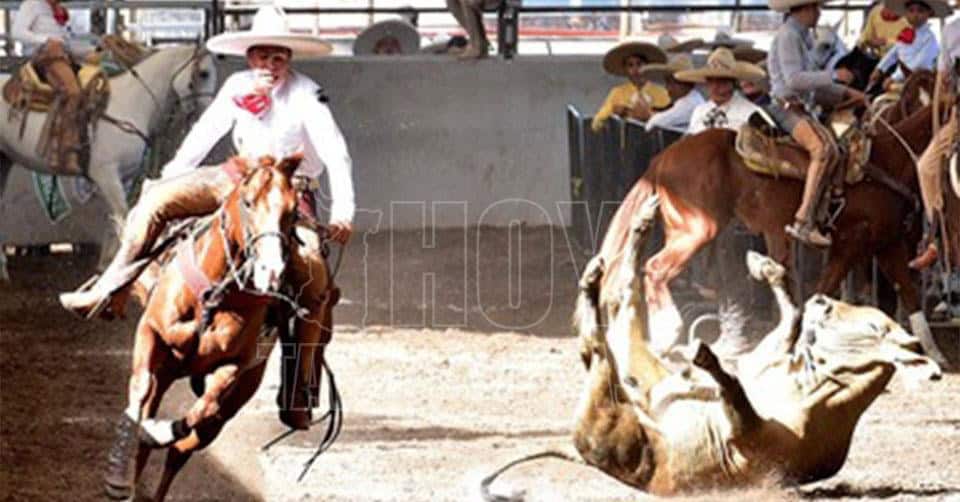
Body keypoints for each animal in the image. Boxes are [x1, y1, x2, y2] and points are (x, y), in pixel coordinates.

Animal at [104, 155, 316, 500]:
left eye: (293, 209)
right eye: (248, 202)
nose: (271, 271)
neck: (215, 295)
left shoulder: (236, 366)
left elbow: (204, 407)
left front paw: (160, 432)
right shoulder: (151, 333)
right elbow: (140, 388)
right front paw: (116, 475)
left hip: (234, 398)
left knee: (182, 448)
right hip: (167, 372)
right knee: (147, 429)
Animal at [484, 195, 940, 498]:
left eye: (876, 325)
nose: (824, 302)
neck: (812, 389)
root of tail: (578, 452)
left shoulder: (748, 437)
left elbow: (735, 391)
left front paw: (706, 358)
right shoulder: (768, 358)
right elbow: (789, 318)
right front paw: (766, 268)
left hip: (610, 408)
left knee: (599, 344)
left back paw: (598, 280)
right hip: (637, 361)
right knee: (623, 299)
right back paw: (637, 228)